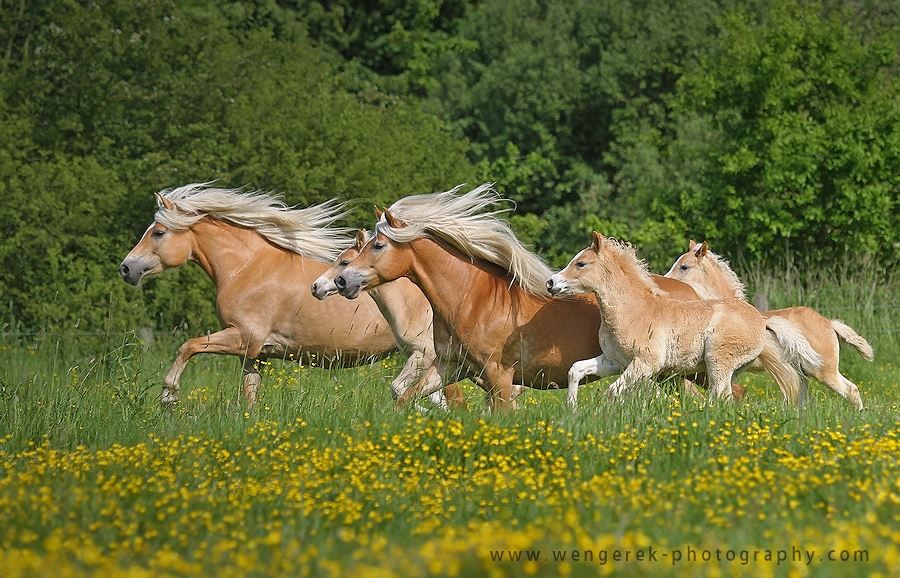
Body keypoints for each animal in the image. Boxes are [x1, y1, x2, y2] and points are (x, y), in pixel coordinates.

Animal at [118, 183, 398, 404]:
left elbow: (189, 346)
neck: (246, 268)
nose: (126, 268)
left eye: (158, 232)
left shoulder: (243, 338)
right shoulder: (255, 354)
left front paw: (169, 395)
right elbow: (250, 394)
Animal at [330, 184, 696, 410]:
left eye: (378, 245)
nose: (341, 281)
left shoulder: (499, 376)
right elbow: (404, 401)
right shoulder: (449, 366)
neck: (471, 301)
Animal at [540, 231, 824, 404]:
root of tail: (761, 320)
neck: (633, 311)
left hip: (718, 362)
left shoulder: (644, 364)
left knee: (721, 396)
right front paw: (572, 411)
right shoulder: (615, 361)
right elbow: (576, 371)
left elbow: (612, 392)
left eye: (581, 263)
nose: (551, 283)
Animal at [664, 241, 868, 408]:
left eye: (684, 266)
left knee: (851, 390)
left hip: (824, 370)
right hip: (802, 373)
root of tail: (828, 323)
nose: (665, 279)